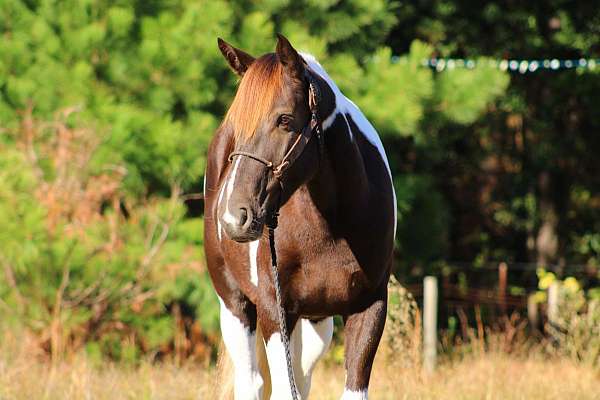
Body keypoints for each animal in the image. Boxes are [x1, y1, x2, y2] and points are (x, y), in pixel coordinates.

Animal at [204, 35, 396, 400]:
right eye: (236, 125)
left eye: (284, 119)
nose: (234, 217)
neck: (331, 224)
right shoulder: (274, 310)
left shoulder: (370, 308)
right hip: (235, 303)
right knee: (252, 381)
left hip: (316, 322)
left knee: (303, 378)